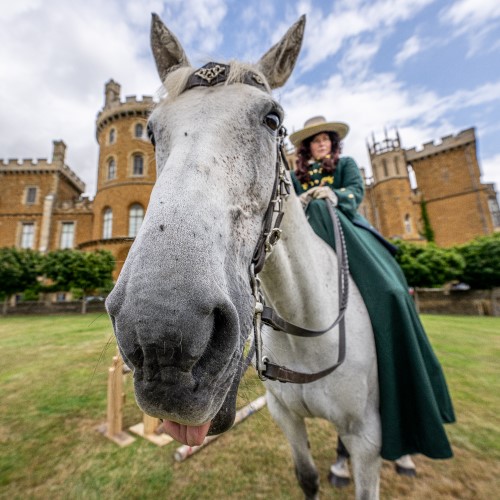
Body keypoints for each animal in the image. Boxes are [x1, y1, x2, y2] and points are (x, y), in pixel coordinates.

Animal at [107, 13, 380, 498]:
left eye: (273, 119)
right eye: (152, 130)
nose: (160, 342)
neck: (309, 333)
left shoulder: (367, 438)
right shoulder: (286, 418)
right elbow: (307, 477)